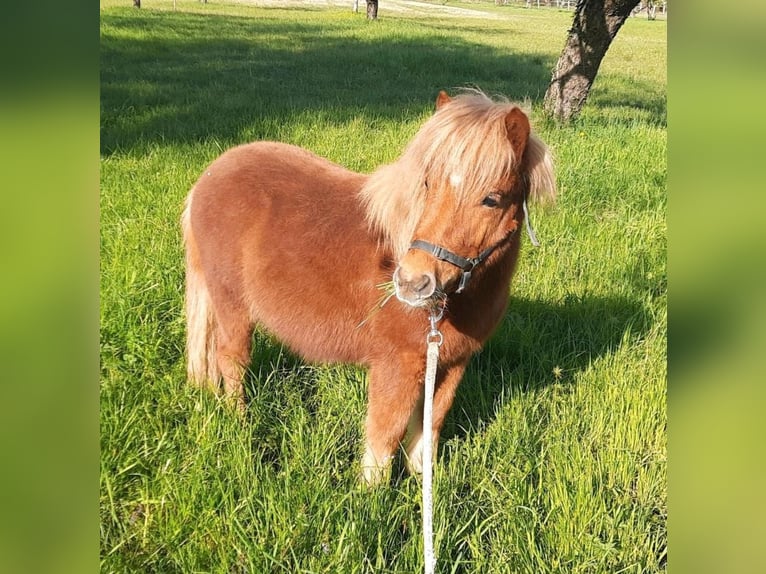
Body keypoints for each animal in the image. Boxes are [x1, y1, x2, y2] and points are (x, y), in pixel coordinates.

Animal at [182, 89, 556, 484]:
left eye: (492, 199)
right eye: (427, 184)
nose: (412, 281)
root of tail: (210, 176)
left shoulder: (451, 364)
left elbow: (428, 429)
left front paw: (421, 484)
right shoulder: (396, 366)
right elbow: (384, 437)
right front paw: (369, 495)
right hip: (232, 306)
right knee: (231, 360)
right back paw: (240, 424)